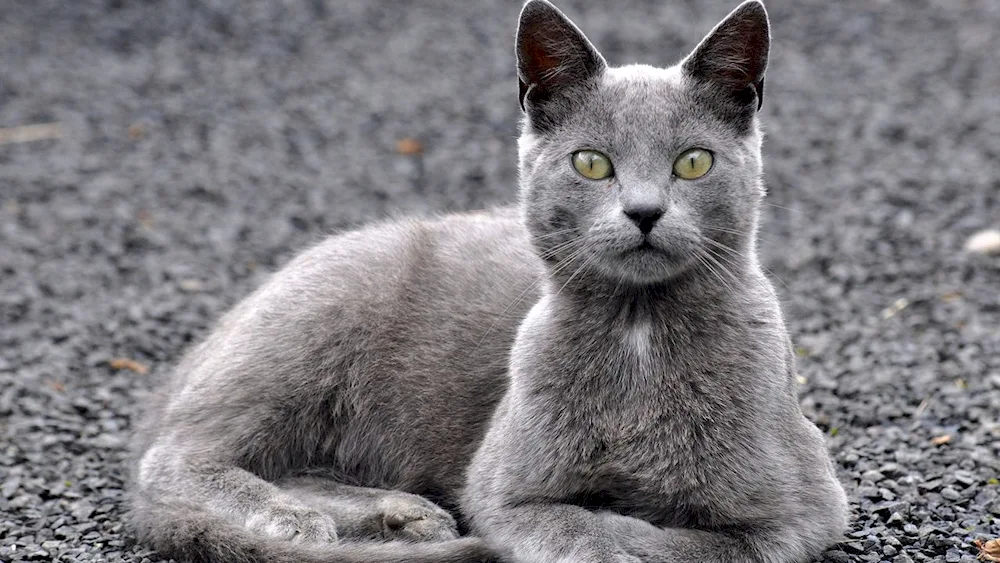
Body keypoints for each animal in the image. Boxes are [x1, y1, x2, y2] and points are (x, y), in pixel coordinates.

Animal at [125, 1, 848, 563]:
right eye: (592, 163)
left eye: (694, 162)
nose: (644, 211)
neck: (640, 331)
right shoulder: (504, 489)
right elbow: (574, 526)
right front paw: (612, 528)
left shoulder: (807, 507)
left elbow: (707, 543)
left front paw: (638, 526)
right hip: (306, 333)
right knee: (175, 457)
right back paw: (294, 520)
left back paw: (400, 514)